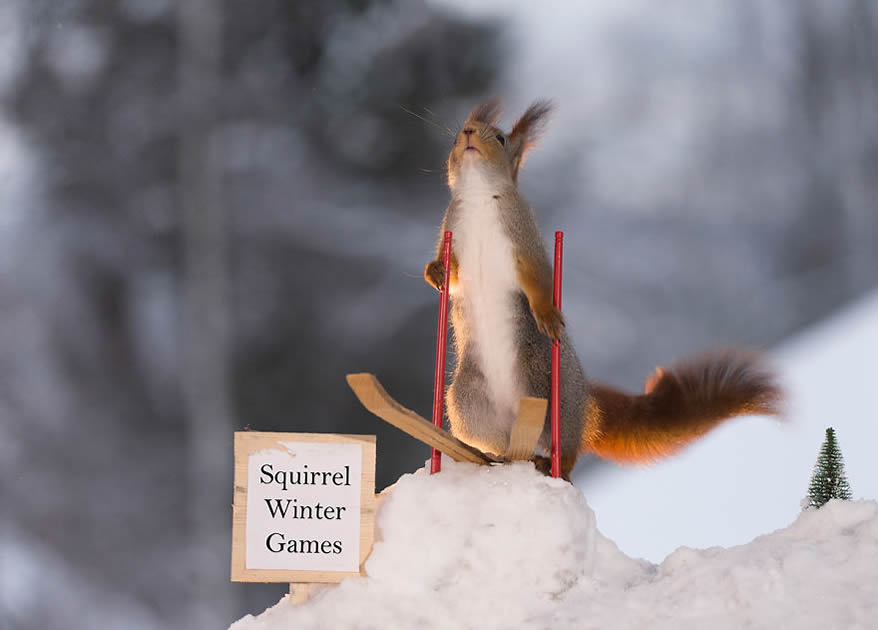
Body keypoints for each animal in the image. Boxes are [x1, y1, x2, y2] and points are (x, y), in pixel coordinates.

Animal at [424, 100, 784, 484]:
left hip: (549, 389)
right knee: (505, 442)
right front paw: (435, 272)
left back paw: (556, 464)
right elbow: (453, 274)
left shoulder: (523, 235)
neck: (478, 197)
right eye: (458, 135)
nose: (467, 134)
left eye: (501, 138)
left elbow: (537, 277)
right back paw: (497, 456)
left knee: (565, 446)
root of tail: (585, 403)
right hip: (468, 402)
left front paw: (547, 314)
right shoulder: (452, 230)